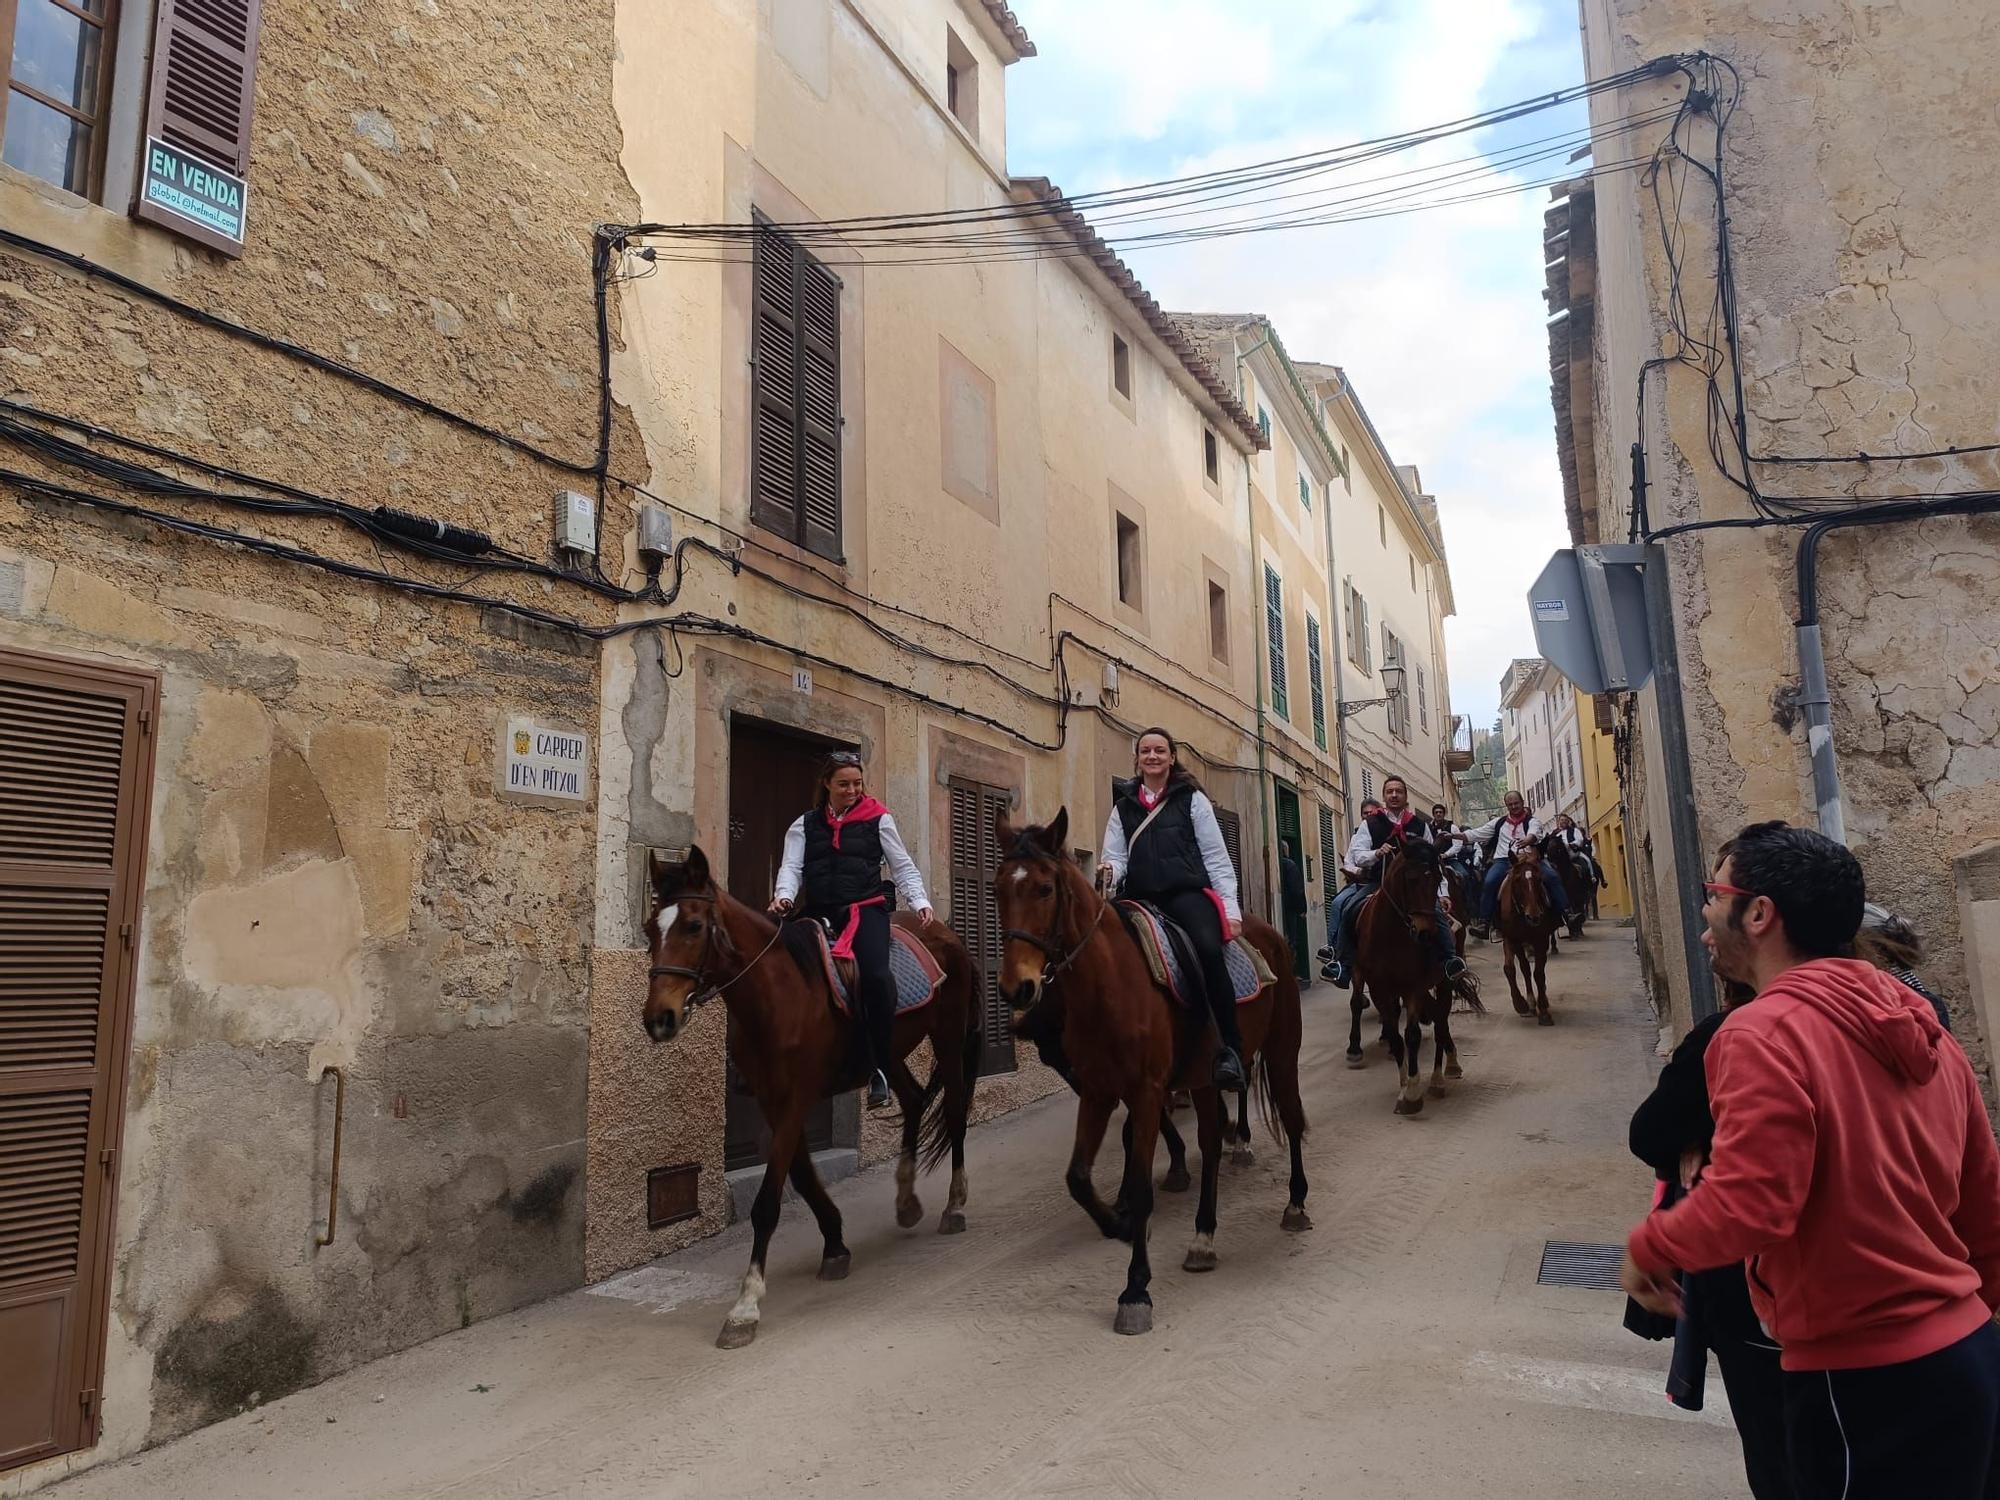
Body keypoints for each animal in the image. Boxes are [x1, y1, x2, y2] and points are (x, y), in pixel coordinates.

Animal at [644, 848, 980, 1352]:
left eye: (694, 926)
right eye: (650, 928)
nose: (658, 1018)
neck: (778, 991)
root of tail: (945, 933)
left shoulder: (796, 1098)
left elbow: (768, 1202)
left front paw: (745, 1307)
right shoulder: (772, 1101)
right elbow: (801, 1176)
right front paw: (836, 1242)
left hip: (948, 1037)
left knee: (955, 1112)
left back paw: (953, 1206)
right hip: (890, 1050)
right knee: (914, 1099)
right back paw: (906, 1200)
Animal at [988, 812, 1304, 1336]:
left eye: (1045, 888)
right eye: (996, 889)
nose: (1018, 988)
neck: (1109, 984)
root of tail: (1269, 934)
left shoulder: (1147, 1090)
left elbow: (1139, 1182)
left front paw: (1136, 1288)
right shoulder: (1098, 1092)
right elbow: (1077, 1177)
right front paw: (1118, 1224)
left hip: (1281, 1051)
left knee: (1293, 1121)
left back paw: (1296, 1204)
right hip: (1203, 1076)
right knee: (1212, 1141)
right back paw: (1203, 1237)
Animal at [1352, 840, 1464, 1120]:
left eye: (1437, 878)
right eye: (1411, 878)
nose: (1426, 933)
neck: (1391, 936)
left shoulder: (1413, 987)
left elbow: (1411, 1034)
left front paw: (1412, 1092)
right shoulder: (1380, 989)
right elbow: (1394, 1035)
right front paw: (1403, 1084)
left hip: (1443, 983)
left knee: (1441, 1022)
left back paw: (1440, 1076)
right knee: (1435, 1017)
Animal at [1504, 840, 1560, 1032]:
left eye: (1540, 879)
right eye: (1517, 880)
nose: (1534, 917)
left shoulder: (1541, 940)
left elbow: (1539, 974)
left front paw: (1544, 1012)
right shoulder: (1511, 939)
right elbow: (1512, 969)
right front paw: (1521, 1004)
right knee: (1524, 968)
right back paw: (1530, 1004)